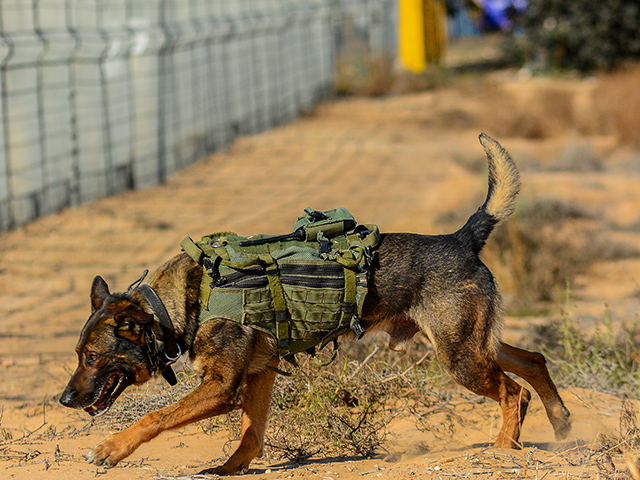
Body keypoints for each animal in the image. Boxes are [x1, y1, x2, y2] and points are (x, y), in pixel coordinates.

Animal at [58, 133, 568, 474]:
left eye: (93, 358)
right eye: (78, 356)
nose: (63, 399)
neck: (178, 304)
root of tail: (461, 238)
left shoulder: (223, 387)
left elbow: (157, 416)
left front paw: (111, 448)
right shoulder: (260, 374)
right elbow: (251, 435)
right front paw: (228, 469)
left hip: (460, 358)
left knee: (512, 390)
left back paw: (503, 448)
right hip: (471, 344)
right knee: (533, 360)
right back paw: (559, 423)